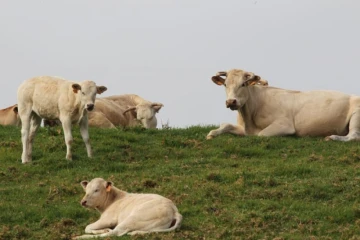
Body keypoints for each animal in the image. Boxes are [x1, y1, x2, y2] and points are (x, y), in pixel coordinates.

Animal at [207, 68, 360, 141]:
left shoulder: (284, 124)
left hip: (356, 115)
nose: (231, 101)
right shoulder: (243, 128)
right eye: (225, 84)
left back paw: (332, 137)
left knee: (354, 136)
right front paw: (211, 134)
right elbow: (225, 125)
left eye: (243, 84)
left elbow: (261, 134)